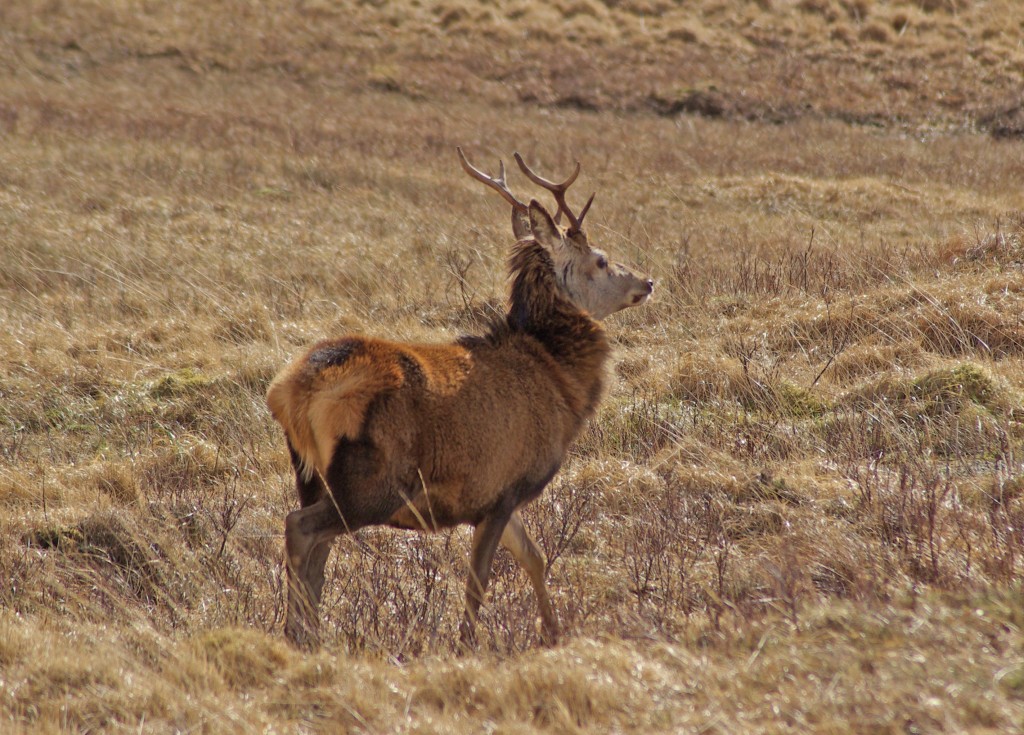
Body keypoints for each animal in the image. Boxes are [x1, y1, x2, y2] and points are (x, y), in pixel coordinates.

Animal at [265, 148, 653, 650]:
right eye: (601, 260)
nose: (646, 281)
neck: (561, 384)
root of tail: (292, 392)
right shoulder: (505, 486)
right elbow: (479, 580)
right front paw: (468, 644)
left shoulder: (495, 496)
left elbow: (534, 556)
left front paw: (554, 632)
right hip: (372, 483)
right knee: (301, 529)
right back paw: (298, 631)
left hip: (312, 475)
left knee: (318, 549)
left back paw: (309, 634)